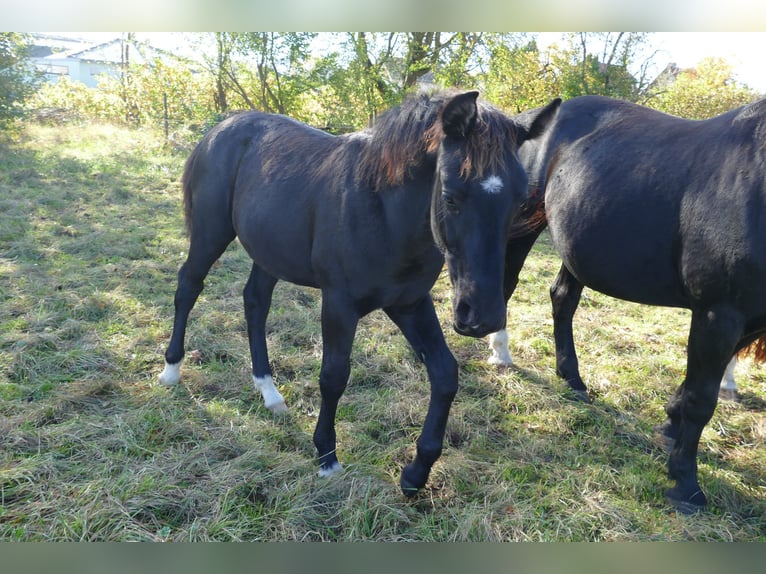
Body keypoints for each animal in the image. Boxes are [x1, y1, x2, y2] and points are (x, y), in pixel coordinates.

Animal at [159, 89, 560, 496]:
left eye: (518, 201)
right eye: (450, 196)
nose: (482, 316)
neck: (384, 211)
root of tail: (221, 128)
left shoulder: (409, 303)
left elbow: (445, 373)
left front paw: (415, 474)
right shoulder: (339, 303)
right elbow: (334, 375)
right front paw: (327, 458)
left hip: (269, 252)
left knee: (255, 303)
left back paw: (270, 393)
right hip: (211, 234)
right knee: (188, 287)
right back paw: (171, 371)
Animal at [492, 94, 766, 512]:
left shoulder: (749, 318)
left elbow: (693, 386)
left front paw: (670, 423)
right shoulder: (720, 313)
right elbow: (701, 398)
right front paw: (685, 483)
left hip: (580, 244)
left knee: (563, 300)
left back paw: (571, 378)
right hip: (524, 221)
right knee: (506, 282)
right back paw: (500, 355)